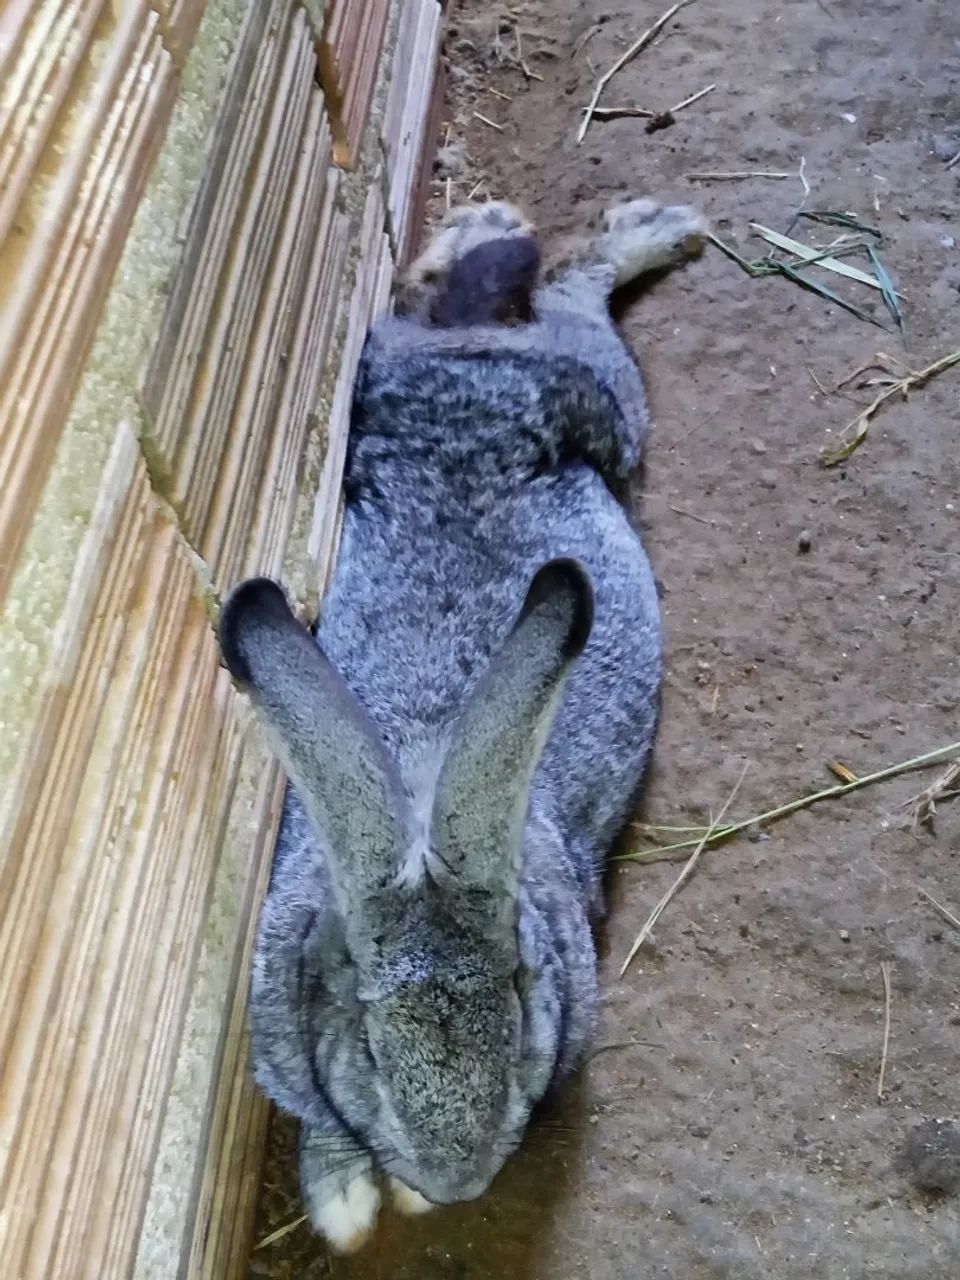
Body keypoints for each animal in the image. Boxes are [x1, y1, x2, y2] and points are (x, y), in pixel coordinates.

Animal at [218, 194, 708, 1253]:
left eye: (522, 994)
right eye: (362, 1036)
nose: (456, 1180)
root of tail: (470, 370)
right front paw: (347, 1200)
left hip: (606, 410)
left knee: (574, 292)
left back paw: (646, 229)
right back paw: (488, 234)